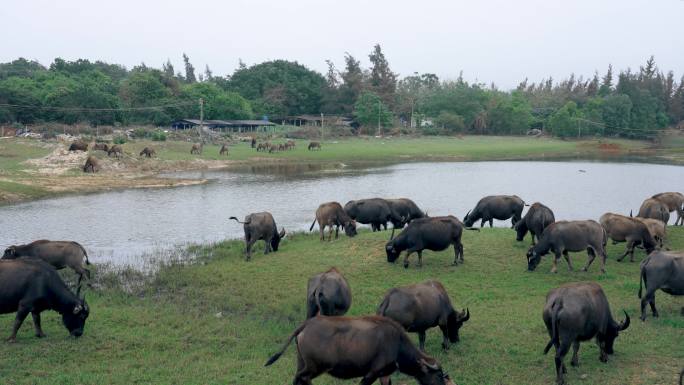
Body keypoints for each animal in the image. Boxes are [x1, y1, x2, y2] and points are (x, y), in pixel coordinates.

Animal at [266, 316, 454, 384]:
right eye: (438, 375)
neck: (396, 344)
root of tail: (306, 325)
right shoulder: (371, 373)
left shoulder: (384, 374)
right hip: (314, 368)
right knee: (301, 379)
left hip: (302, 363)